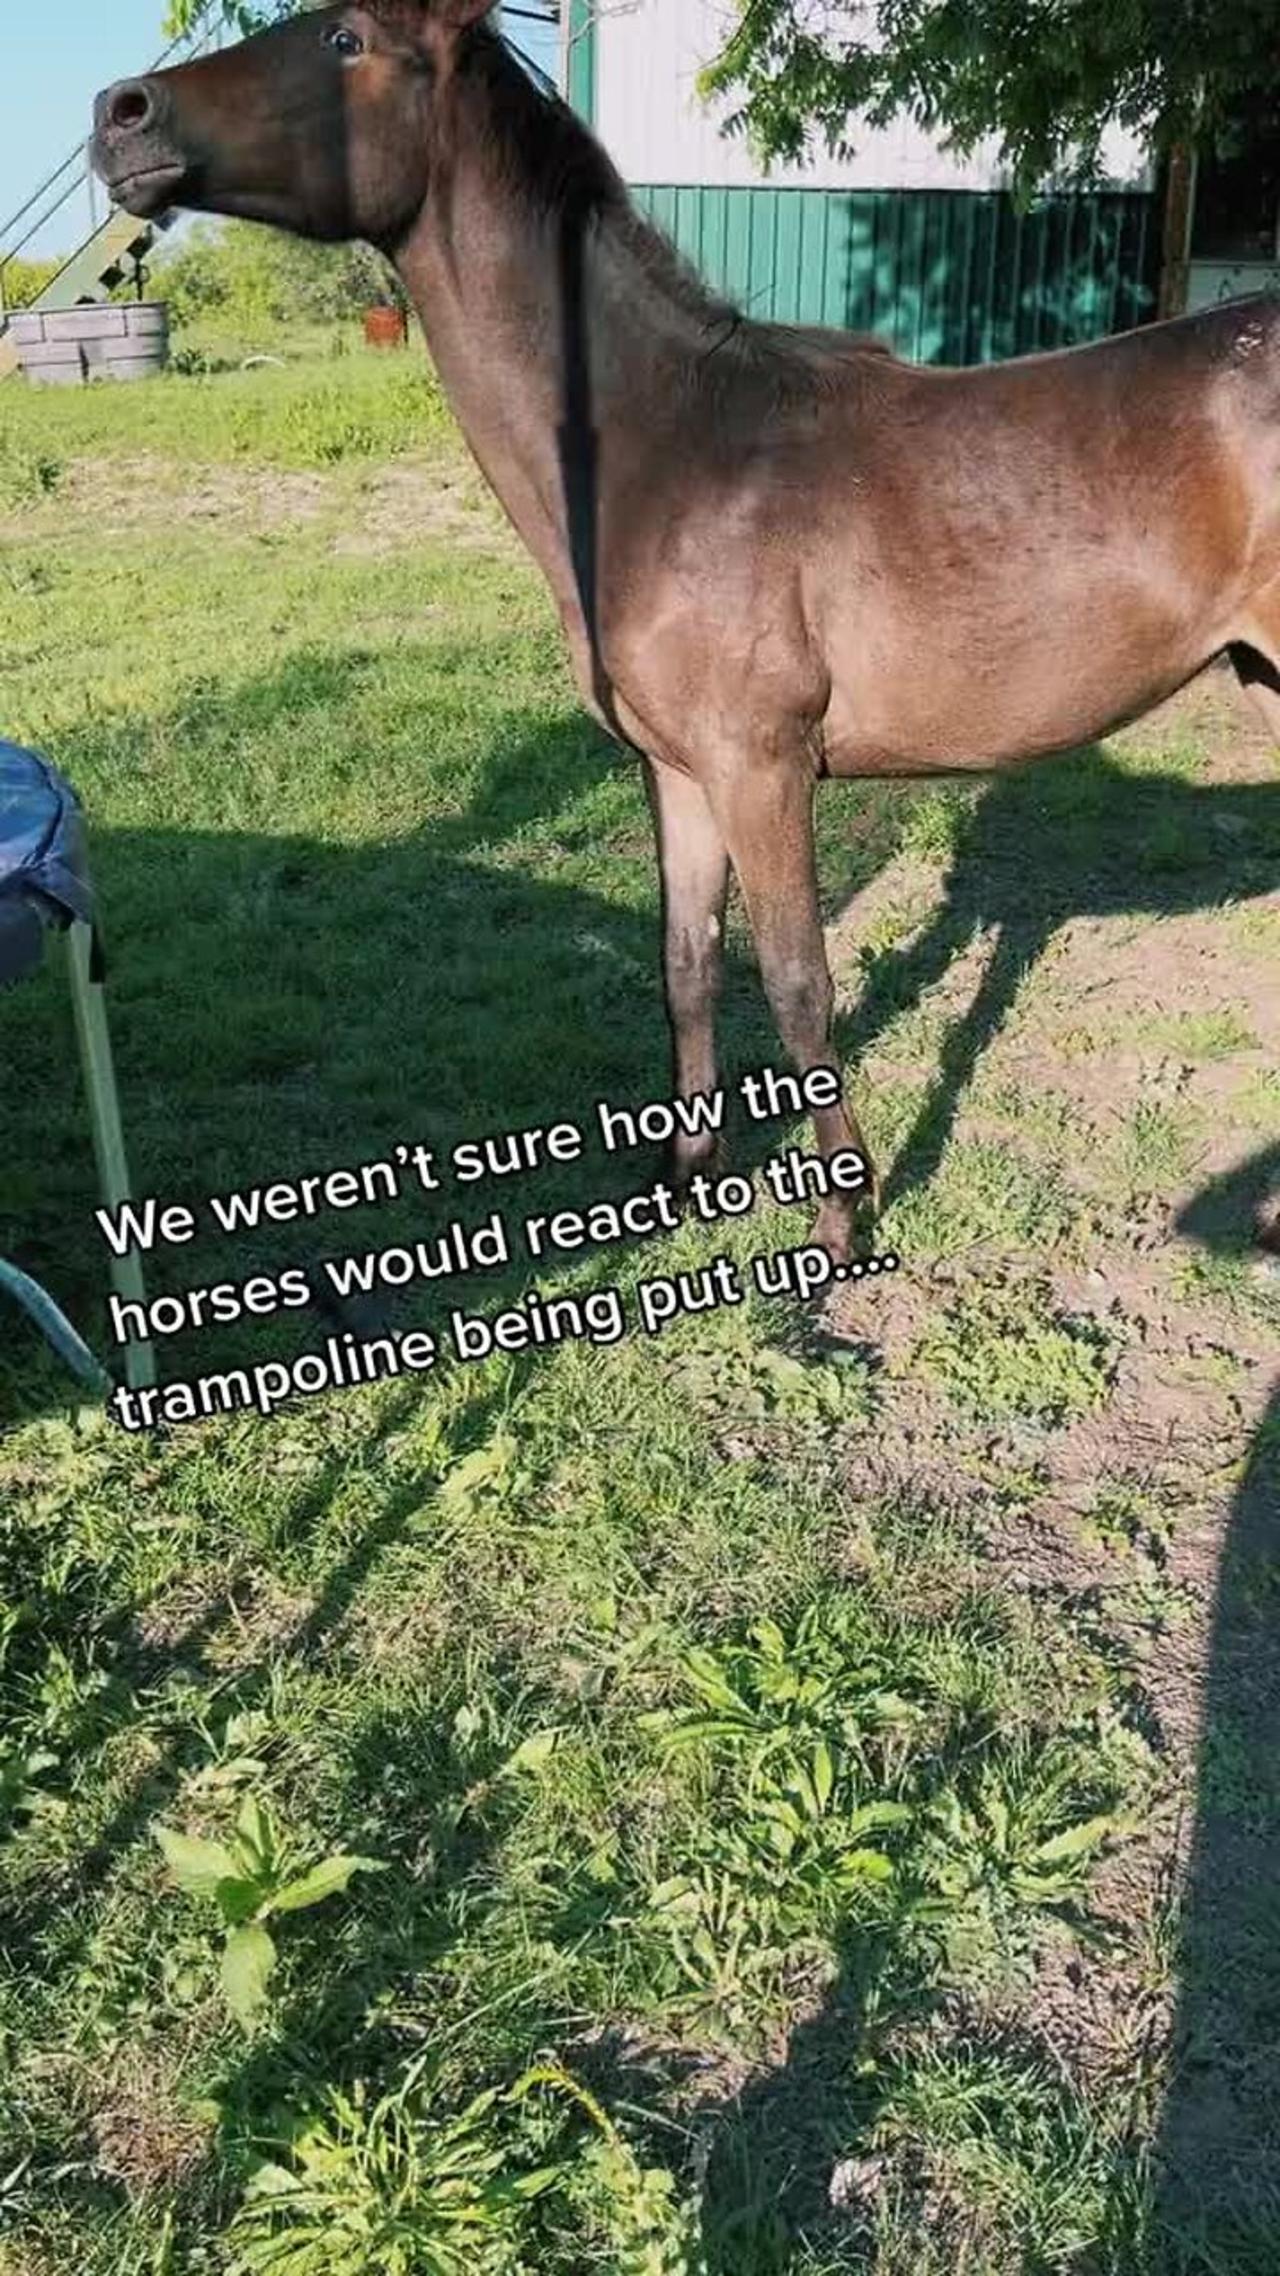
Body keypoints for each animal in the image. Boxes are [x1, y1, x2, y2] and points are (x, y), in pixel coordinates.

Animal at [92, 0, 1280, 1266]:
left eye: (344, 40)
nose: (120, 115)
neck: (668, 451)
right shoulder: (673, 771)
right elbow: (685, 966)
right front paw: (683, 1179)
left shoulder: (761, 767)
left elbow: (798, 981)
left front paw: (839, 1222)